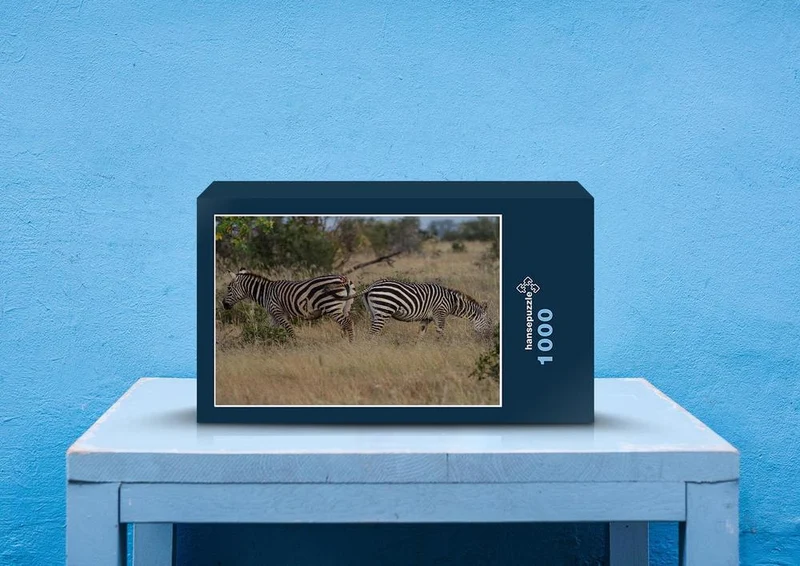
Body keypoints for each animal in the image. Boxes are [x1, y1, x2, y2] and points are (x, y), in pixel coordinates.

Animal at [221, 269, 356, 340]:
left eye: (229, 288)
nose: (223, 304)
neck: (265, 293)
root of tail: (343, 278)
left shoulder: (278, 312)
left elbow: (289, 329)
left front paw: (294, 344)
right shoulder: (273, 315)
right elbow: (270, 330)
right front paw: (268, 342)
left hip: (331, 306)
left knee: (347, 323)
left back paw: (350, 343)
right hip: (345, 306)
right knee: (346, 323)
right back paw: (344, 341)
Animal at [361, 278, 492, 338]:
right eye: (489, 322)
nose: (488, 339)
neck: (452, 302)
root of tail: (371, 286)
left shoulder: (426, 318)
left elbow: (421, 334)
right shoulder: (440, 314)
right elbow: (440, 334)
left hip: (373, 313)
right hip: (383, 311)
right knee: (372, 333)